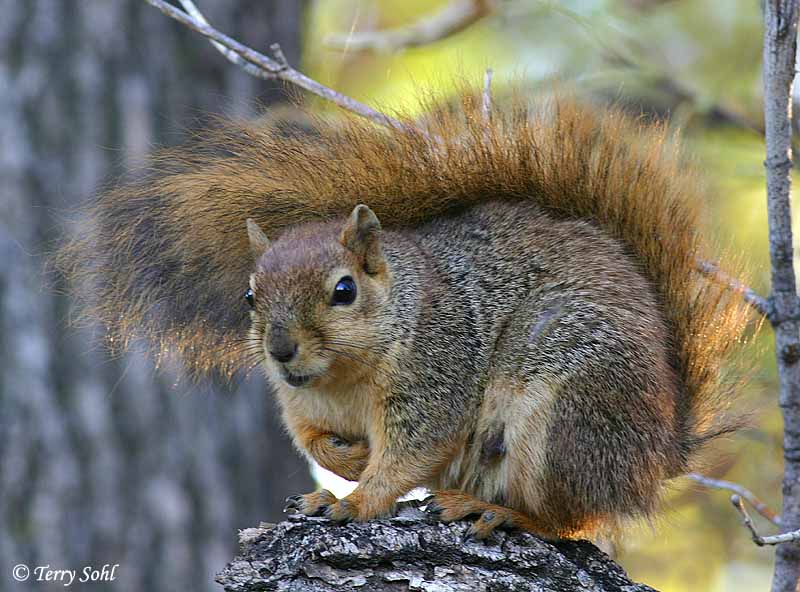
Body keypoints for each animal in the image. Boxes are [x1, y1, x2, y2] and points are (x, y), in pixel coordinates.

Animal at [62, 90, 752, 540]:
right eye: (250, 297)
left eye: (343, 290)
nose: (281, 351)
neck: (344, 379)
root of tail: (658, 451)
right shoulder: (300, 404)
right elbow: (311, 438)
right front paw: (339, 469)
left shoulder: (437, 374)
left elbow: (411, 452)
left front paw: (359, 498)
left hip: (566, 408)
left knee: (572, 516)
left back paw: (503, 512)